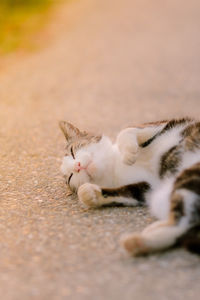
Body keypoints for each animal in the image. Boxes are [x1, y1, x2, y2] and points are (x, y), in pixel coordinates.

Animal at [58, 118, 200, 256]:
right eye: (71, 176)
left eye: (72, 152)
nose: (77, 166)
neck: (114, 165)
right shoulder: (149, 186)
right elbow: (129, 192)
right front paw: (90, 193)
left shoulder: (163, 124)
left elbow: (126, 130)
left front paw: (128, 153)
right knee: (182, 226)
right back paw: (139, 242)